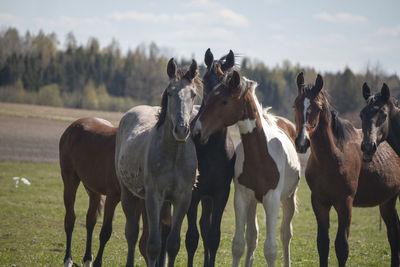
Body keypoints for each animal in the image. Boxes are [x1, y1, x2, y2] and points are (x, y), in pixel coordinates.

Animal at [59, 118, 155, 267]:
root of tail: (73, 126)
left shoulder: (139, 201)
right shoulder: (112, 197)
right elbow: (105, 232)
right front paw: (98, 262)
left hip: (93, 190)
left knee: (90, 221)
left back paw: (87, 259)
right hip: (70, 180)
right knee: (70, 219)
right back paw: (68, 259)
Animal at [115, 58, 199, 267]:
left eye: (193, 94)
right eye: (170, 92)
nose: (181, 129)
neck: (173, 155)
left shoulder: (182, 199)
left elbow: (172, 243)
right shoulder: (153, 197)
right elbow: (153, 245)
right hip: (128, 194)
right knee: (132, 233)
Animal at [194, 70, 300, 266]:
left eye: (224, 101)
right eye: (209, 96)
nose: (197, 131)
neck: (261, 155)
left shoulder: (272, 200)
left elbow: (270, 250)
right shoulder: (241, 197)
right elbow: (238, 244)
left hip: (289, 198)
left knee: (285, 234)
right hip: (253, 202)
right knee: (252, 236)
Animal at [292, 71, 400, 267]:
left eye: (318, 107)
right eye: (295, 104)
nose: (302, 143)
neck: (331, 157)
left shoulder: (345, 203)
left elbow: (342, 247)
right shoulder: (319, 203)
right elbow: (322, 244)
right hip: (388, 200)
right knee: (394, 232)